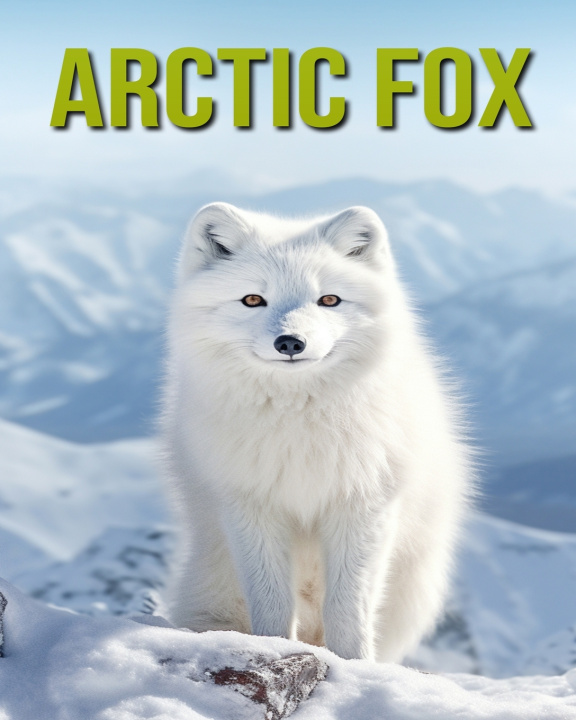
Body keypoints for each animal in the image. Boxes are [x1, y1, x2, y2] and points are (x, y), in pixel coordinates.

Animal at [161, 201, 472, 662]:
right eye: (253, 299)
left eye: (329, 300)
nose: (291, 342)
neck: (300, 425)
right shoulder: (250, 507)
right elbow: (271, 601)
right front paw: (272, 646)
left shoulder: (364, 507)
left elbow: (347, 608)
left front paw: (355, 665)